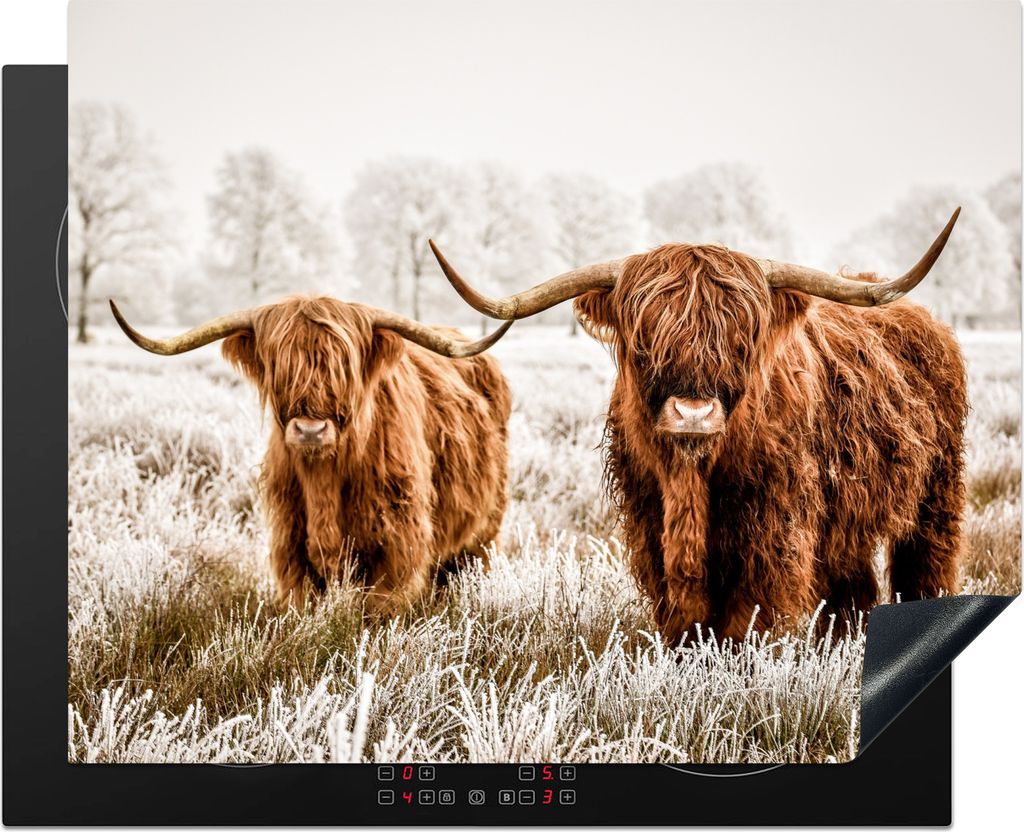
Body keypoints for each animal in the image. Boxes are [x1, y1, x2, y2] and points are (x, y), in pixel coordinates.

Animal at [110, 296, 513, 611]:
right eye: (279, 366)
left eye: (343, 367)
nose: (310, 430)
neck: (325, 480)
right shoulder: (290, 547)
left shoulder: (398, 547)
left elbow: (380, 610)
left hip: (483, 533)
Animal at [428, 209, 966, 644]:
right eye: (645, 339)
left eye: (741, 339)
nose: (693, 414)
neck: (692, 480)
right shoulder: (650, 524)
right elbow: (684, 619)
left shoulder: (773, 532)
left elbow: (747, 621)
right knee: (853, 588)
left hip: (937, 495)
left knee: (925, 568)